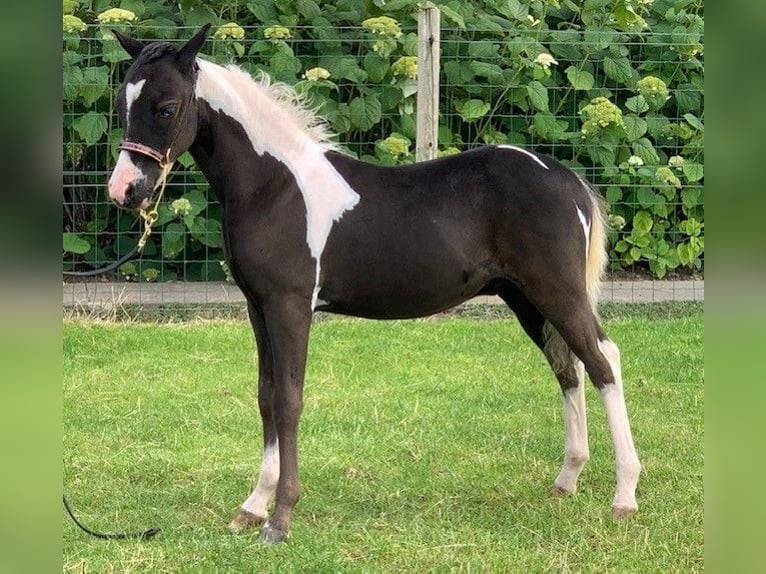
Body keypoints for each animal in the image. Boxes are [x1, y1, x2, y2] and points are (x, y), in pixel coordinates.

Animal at [107, 25, 641, 544]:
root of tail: (568, 180)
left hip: (558, 292)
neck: (275, 186)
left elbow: (288, 399)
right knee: (567, 367)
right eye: (122, 104)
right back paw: (567, 480)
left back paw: (624, 497)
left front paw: (280, 520)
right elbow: (265, 395)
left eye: (167, 107)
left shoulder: (290, 306)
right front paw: (252, 508)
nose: (124, 190)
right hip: (526, 300)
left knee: (604, 361)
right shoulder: (258, 308)